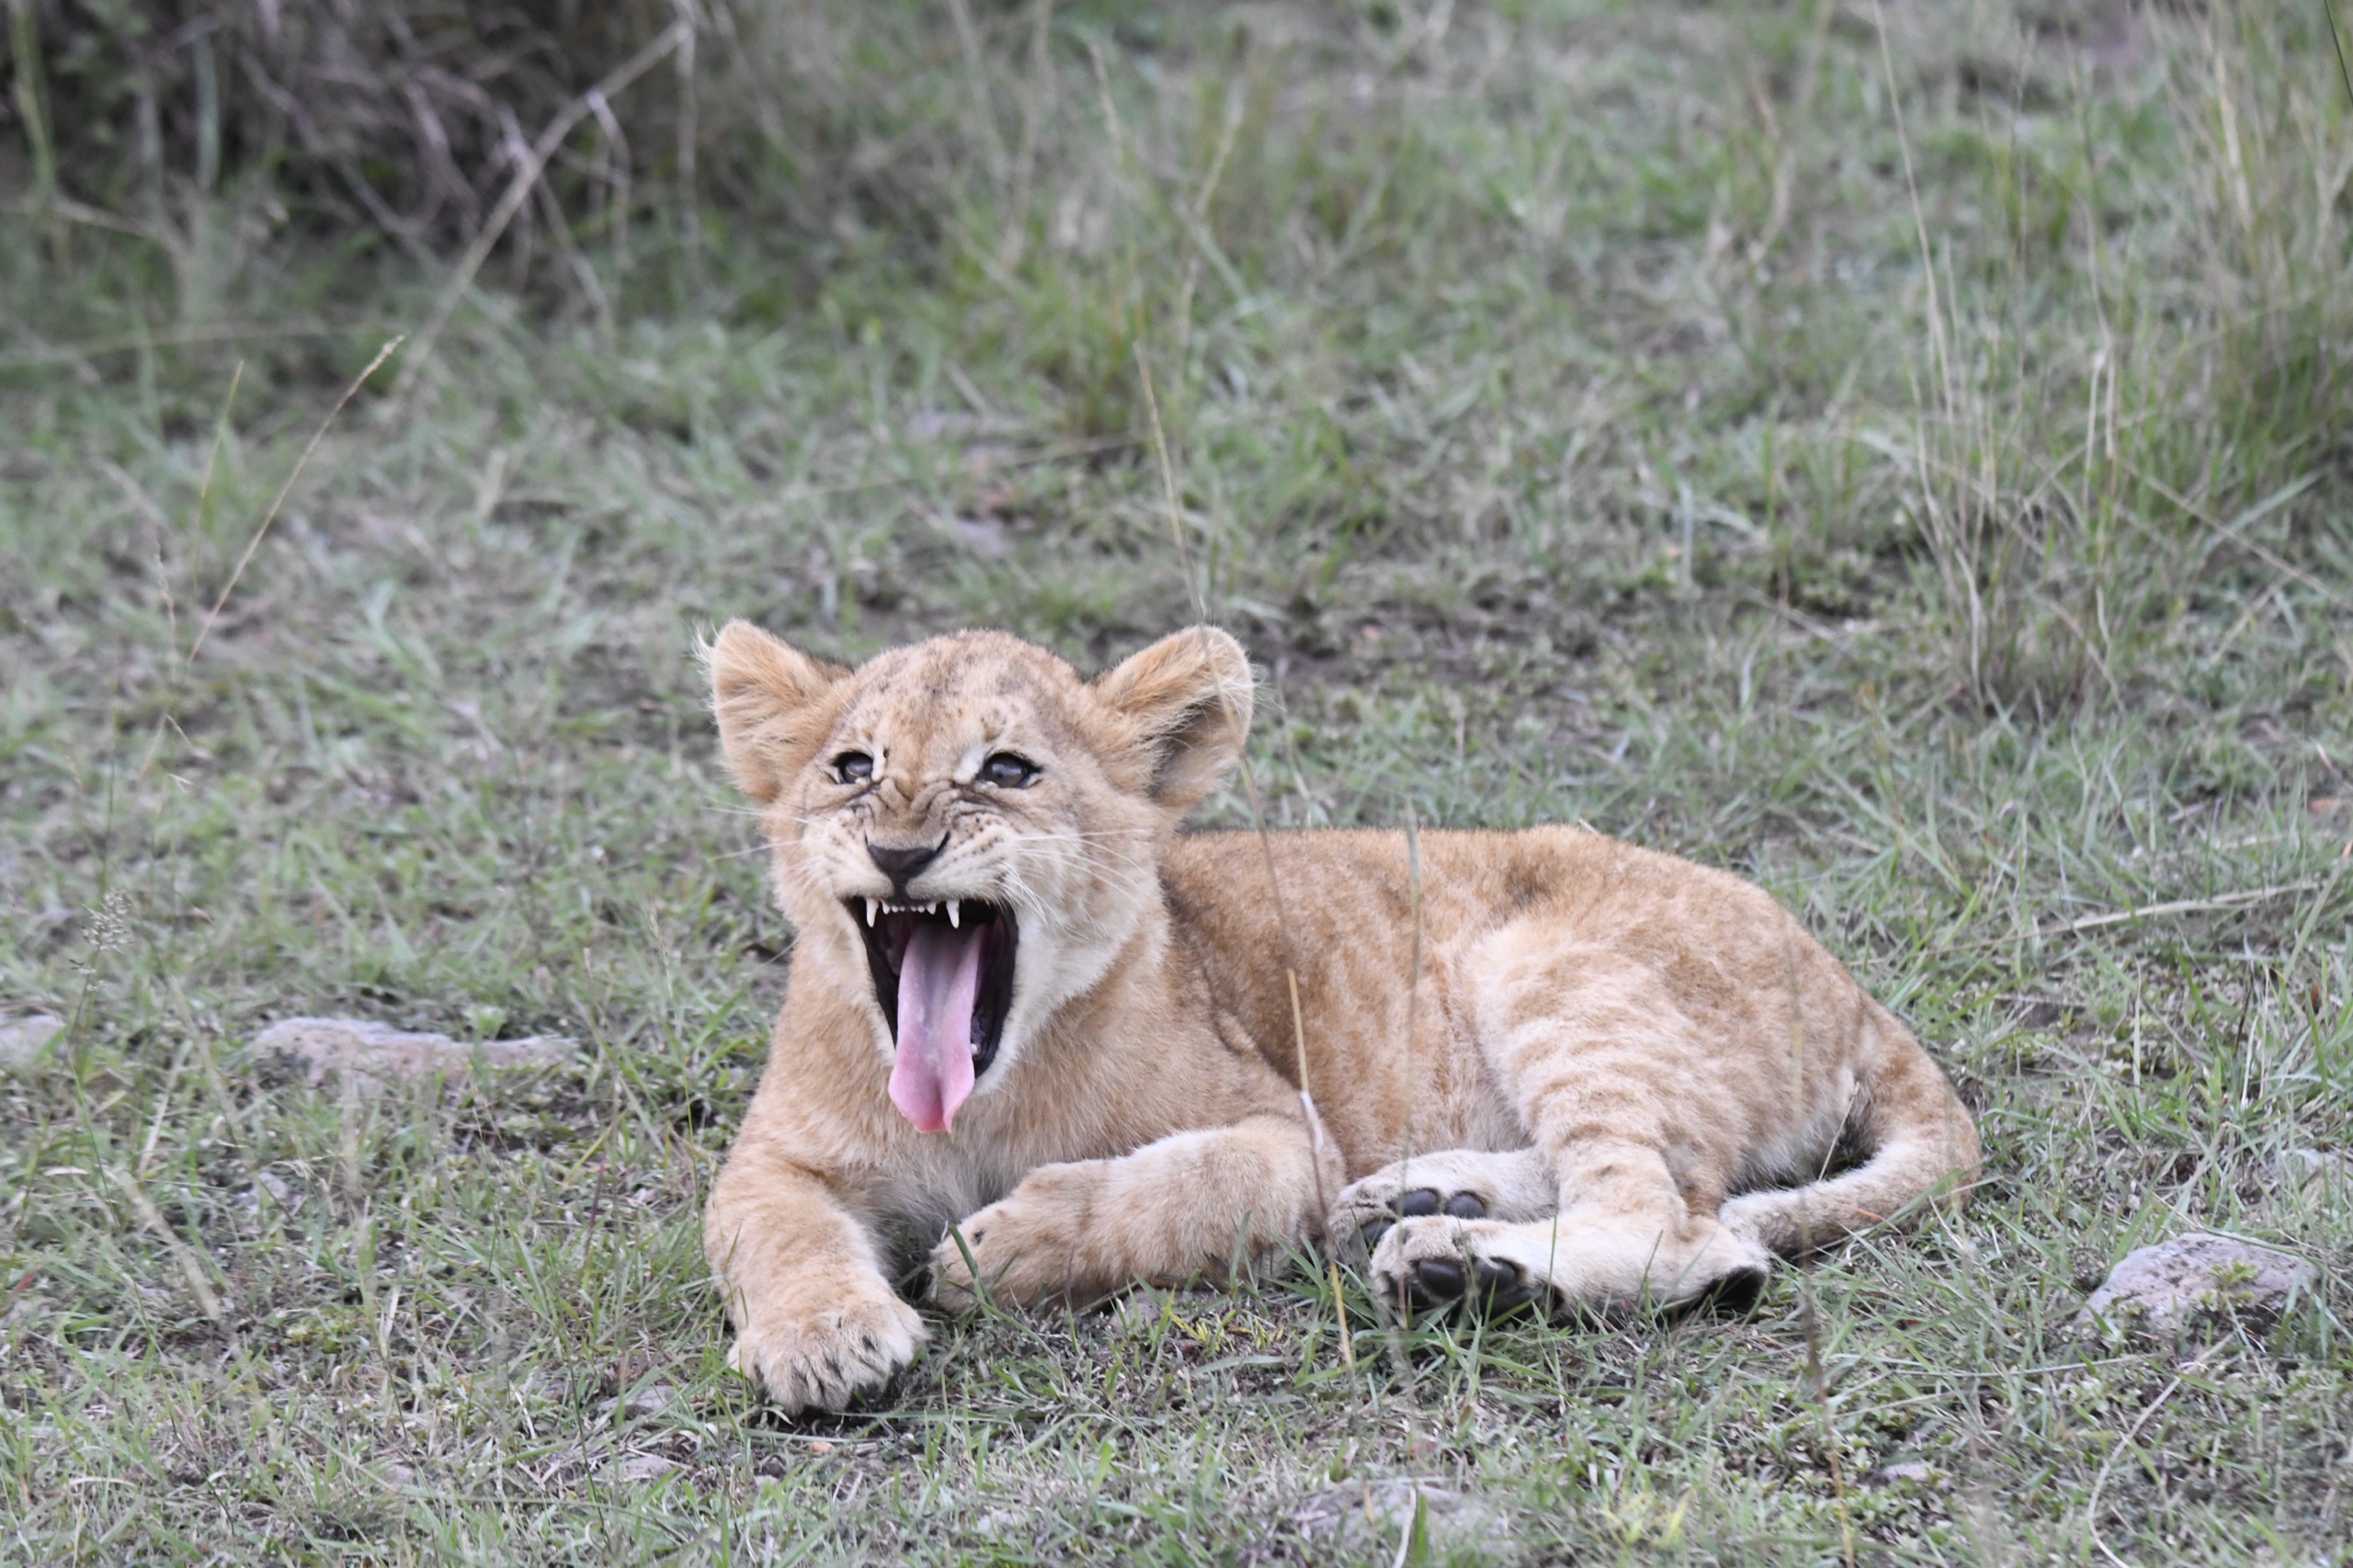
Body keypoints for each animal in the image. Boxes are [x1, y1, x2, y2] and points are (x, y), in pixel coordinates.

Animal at [701, 621, 1980, 1413]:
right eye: (852, 766)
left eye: (1006, 770)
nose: (899, 850)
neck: (983, 1088)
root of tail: (1850, 986)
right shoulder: (775, 1152)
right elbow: (776, 1227)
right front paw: (824, 1339)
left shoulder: (1283, 1128)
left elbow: (1183, 1185)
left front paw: (1005, 1243)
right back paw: (1430, 1200)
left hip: (1551, 972)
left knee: (1682, 1222)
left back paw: (1457, 1264)